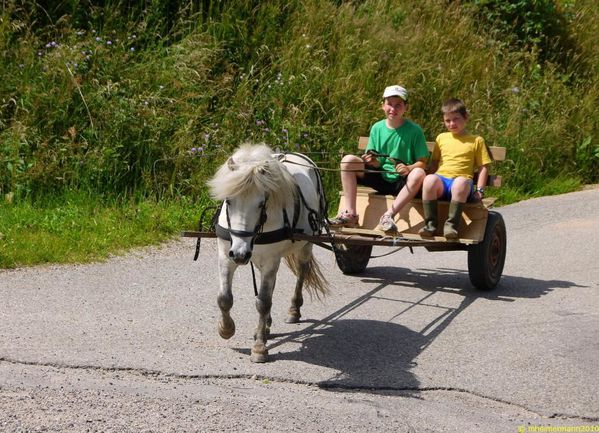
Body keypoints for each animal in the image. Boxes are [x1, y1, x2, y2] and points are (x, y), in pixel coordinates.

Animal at [206, 142, 328, 362]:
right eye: (229, 201)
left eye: (261, 203)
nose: (240, 254)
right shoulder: (226, 255)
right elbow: (224, 298)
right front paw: (226, 329)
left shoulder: (270, 259)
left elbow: (263, 302)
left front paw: (260, 347)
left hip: (306, 245)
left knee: (302, 272)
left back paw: (294, 310)